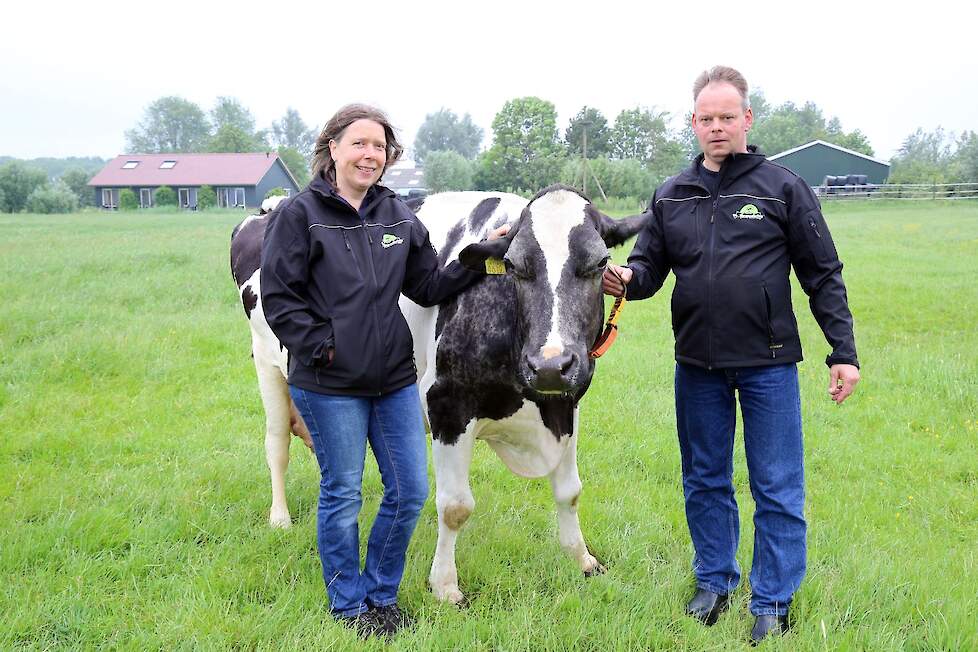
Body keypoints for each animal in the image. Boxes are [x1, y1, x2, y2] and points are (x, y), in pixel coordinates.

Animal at [398, 186, 648, 604]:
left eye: (600, 262)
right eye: (513, 265)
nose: (549, 365)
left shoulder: (568, 403)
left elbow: (570, 491)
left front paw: (583, 560)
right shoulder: (446, 404)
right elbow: (455, 506)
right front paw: (445, 585)